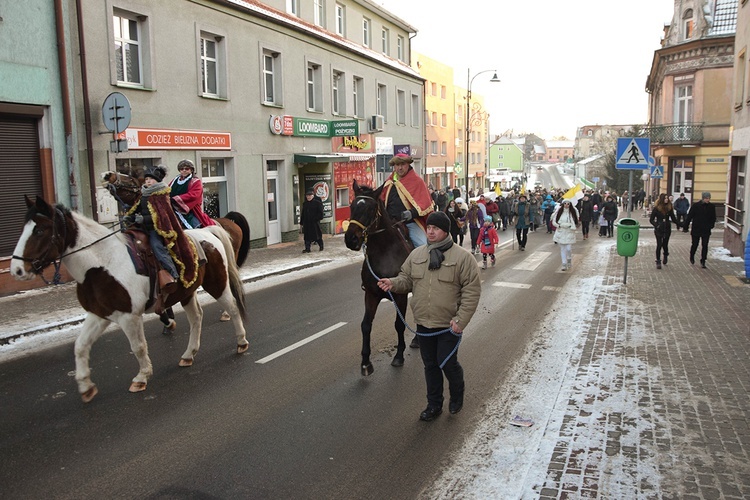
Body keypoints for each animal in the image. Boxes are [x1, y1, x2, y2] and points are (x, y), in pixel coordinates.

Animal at [10, 195, 250, 402]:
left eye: (39, 229)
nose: (17, 270)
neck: (102, 264)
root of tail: (209, 232)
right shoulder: (99, 314)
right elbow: (80, 346)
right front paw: (86, 386)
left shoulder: (129, 316)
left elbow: (138, 347)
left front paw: (141, 377)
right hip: (187, 292)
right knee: (196, 318)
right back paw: (188, 355)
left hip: (217, 284)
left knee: (232, 307)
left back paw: (241, 342)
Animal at [344, 181, 414, 376]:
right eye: (352, 206)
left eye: (370, 208)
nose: (351, 239)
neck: (385, 253)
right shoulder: (371, 294)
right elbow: (366, 325)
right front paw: (366, 362)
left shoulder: (400, 296)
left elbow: (399, 324)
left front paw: (399, 355)